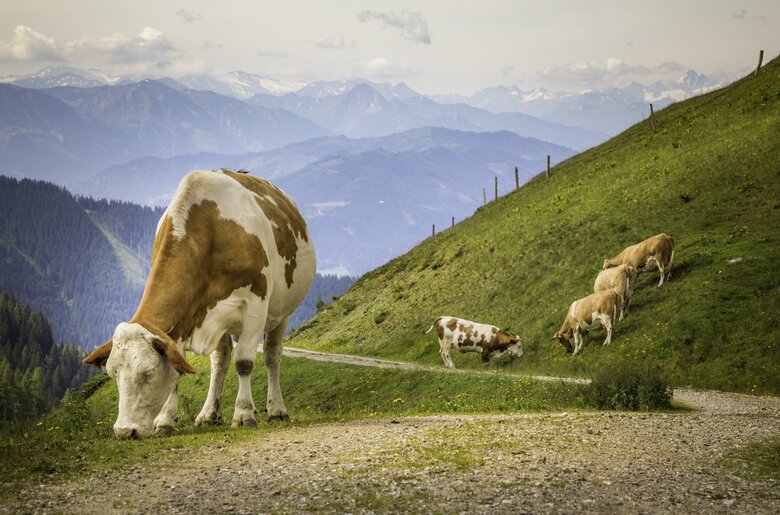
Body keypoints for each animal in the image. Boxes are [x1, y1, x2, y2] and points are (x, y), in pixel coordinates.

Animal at [84, 169, 316, 440]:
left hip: (281, 311)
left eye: (147, 373)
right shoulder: (182, 322)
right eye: (112, 373)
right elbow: (179, 369)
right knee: (220, 361)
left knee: (271, 355)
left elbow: (244, 362)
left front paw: (244, 414)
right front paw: (165, 420)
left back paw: (276, 409)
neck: (211, 232)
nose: (124, 431)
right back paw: (208, 414)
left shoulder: (255, 303)